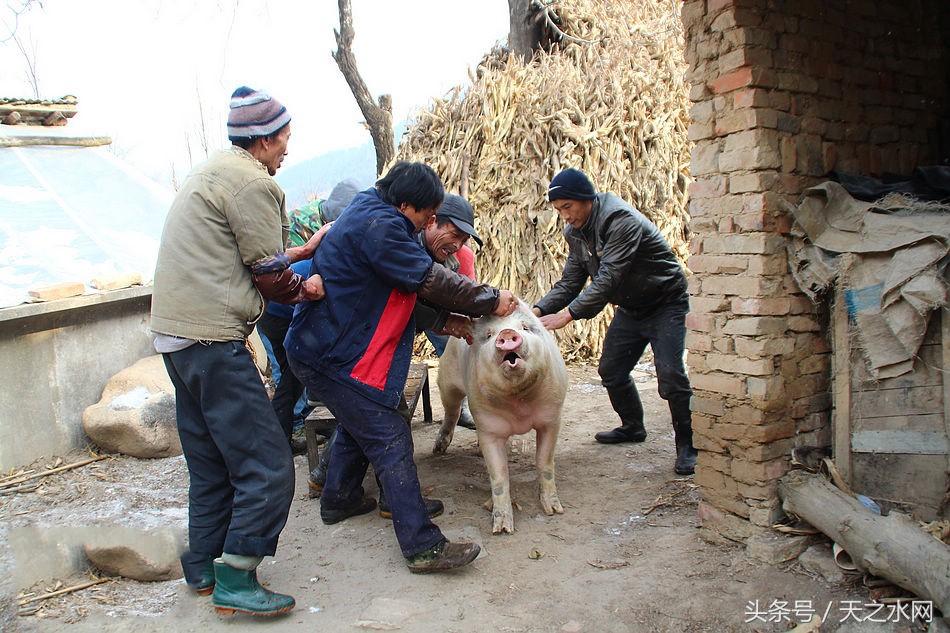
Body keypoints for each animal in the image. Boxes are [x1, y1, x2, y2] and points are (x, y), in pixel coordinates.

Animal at [436, 302, 568, 532]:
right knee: (451, 411)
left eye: (525, 327)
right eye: (489, 335)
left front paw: (554, 511)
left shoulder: (551, 418)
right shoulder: (489, 427)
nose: (506, 333)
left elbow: (544, 462)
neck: (519, 405)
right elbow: (498, 474)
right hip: (446, 381)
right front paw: (503, 530)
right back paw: (439, 449)